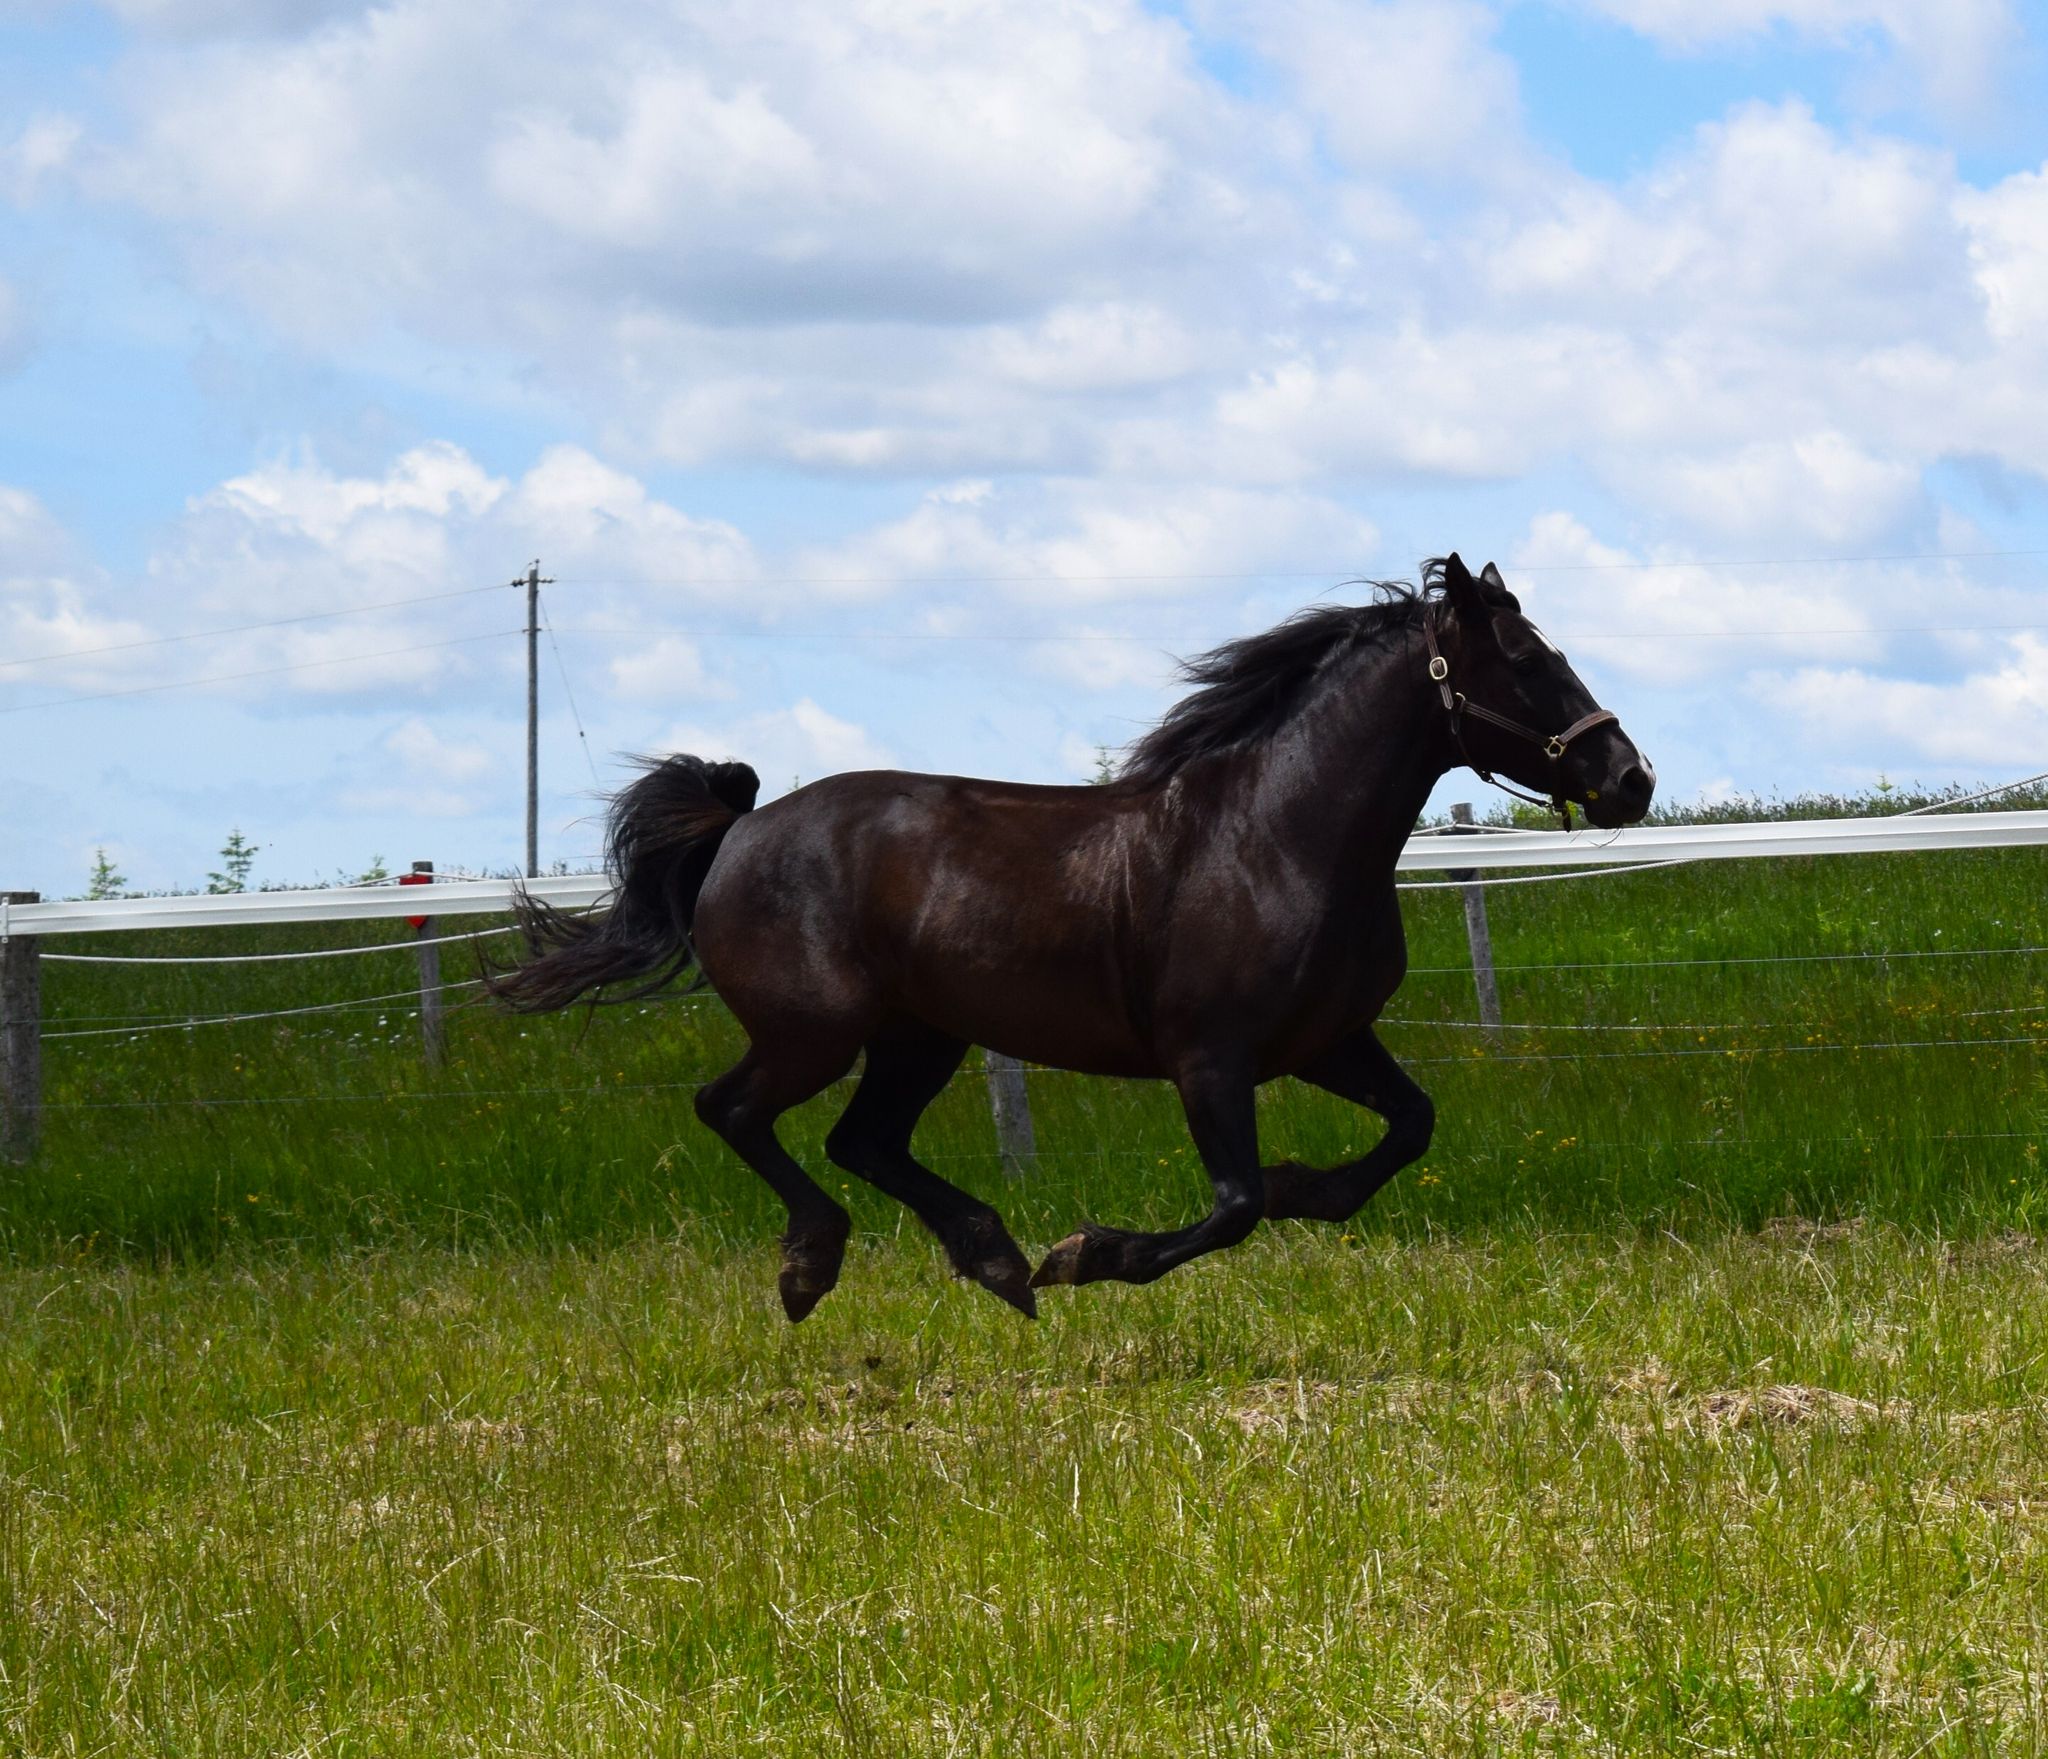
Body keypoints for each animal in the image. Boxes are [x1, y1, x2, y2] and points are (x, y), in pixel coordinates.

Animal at [487, 556, 1654, 1310]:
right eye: (1524, 661)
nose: (1629, 779)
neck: (1276, 836)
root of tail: (739, 829)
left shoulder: (1328, 1042)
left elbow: (1406, 1129)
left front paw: (1303, 1189)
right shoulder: (1210, 1057)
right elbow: (1232, 1205)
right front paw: (1088, 1253)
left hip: (919, 1036)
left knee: (862, 1140)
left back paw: (993, 1262)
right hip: (811, 1031)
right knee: (733, 1110)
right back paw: (818, 1265)